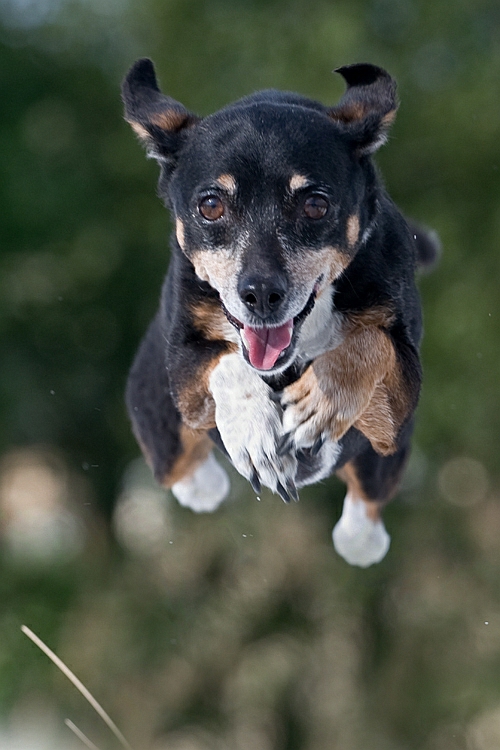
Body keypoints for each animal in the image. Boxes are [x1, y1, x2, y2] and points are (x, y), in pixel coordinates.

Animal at [122, 60, 438, 568]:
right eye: (210, 205)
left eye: (316, 204)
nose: (261, 294)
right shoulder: (183, 361)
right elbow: (223, 363)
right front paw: (255, 432)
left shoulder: (400, 393)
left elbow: (374, 343)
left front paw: (321, 402)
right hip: (156, 407)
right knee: (180, 467)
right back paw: (206, 485)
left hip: (392, 448)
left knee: (365, 505)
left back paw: (359, 537)